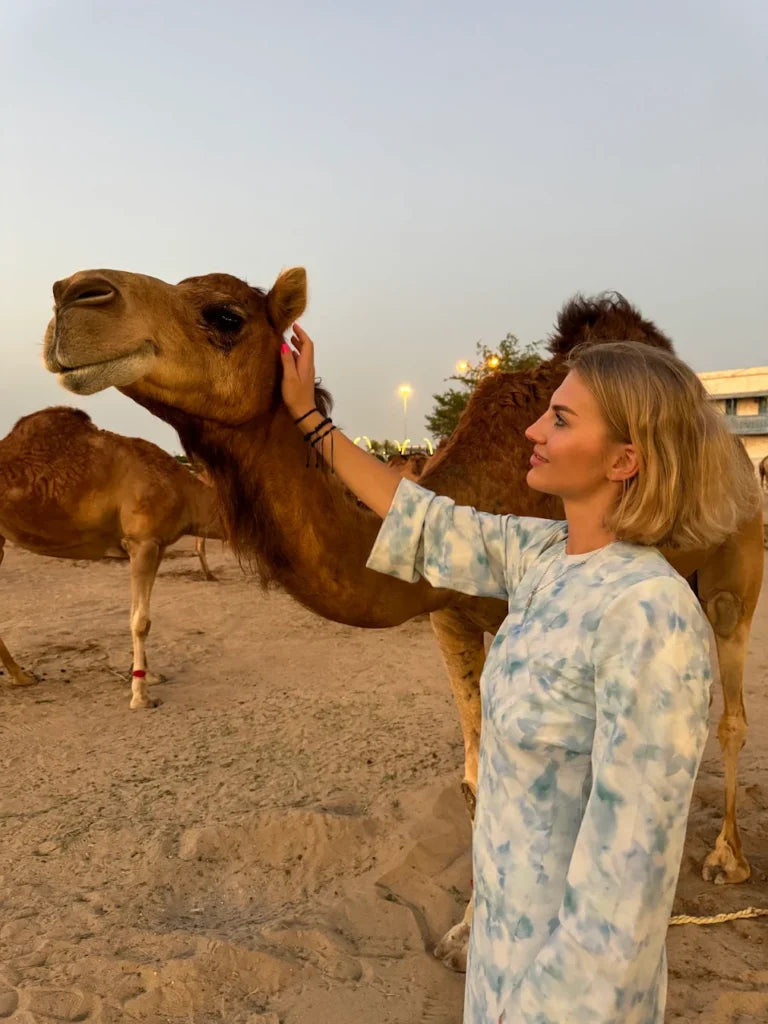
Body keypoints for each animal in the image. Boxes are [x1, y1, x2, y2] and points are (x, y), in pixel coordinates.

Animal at [0, 407, 223, 709]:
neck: (184, 491)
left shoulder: (157, 544)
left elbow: (136, 612)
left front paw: (150, 675)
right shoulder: (142, 541)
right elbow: (141, 621)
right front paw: (140, 696)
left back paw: (21, 675)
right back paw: (21, 677)